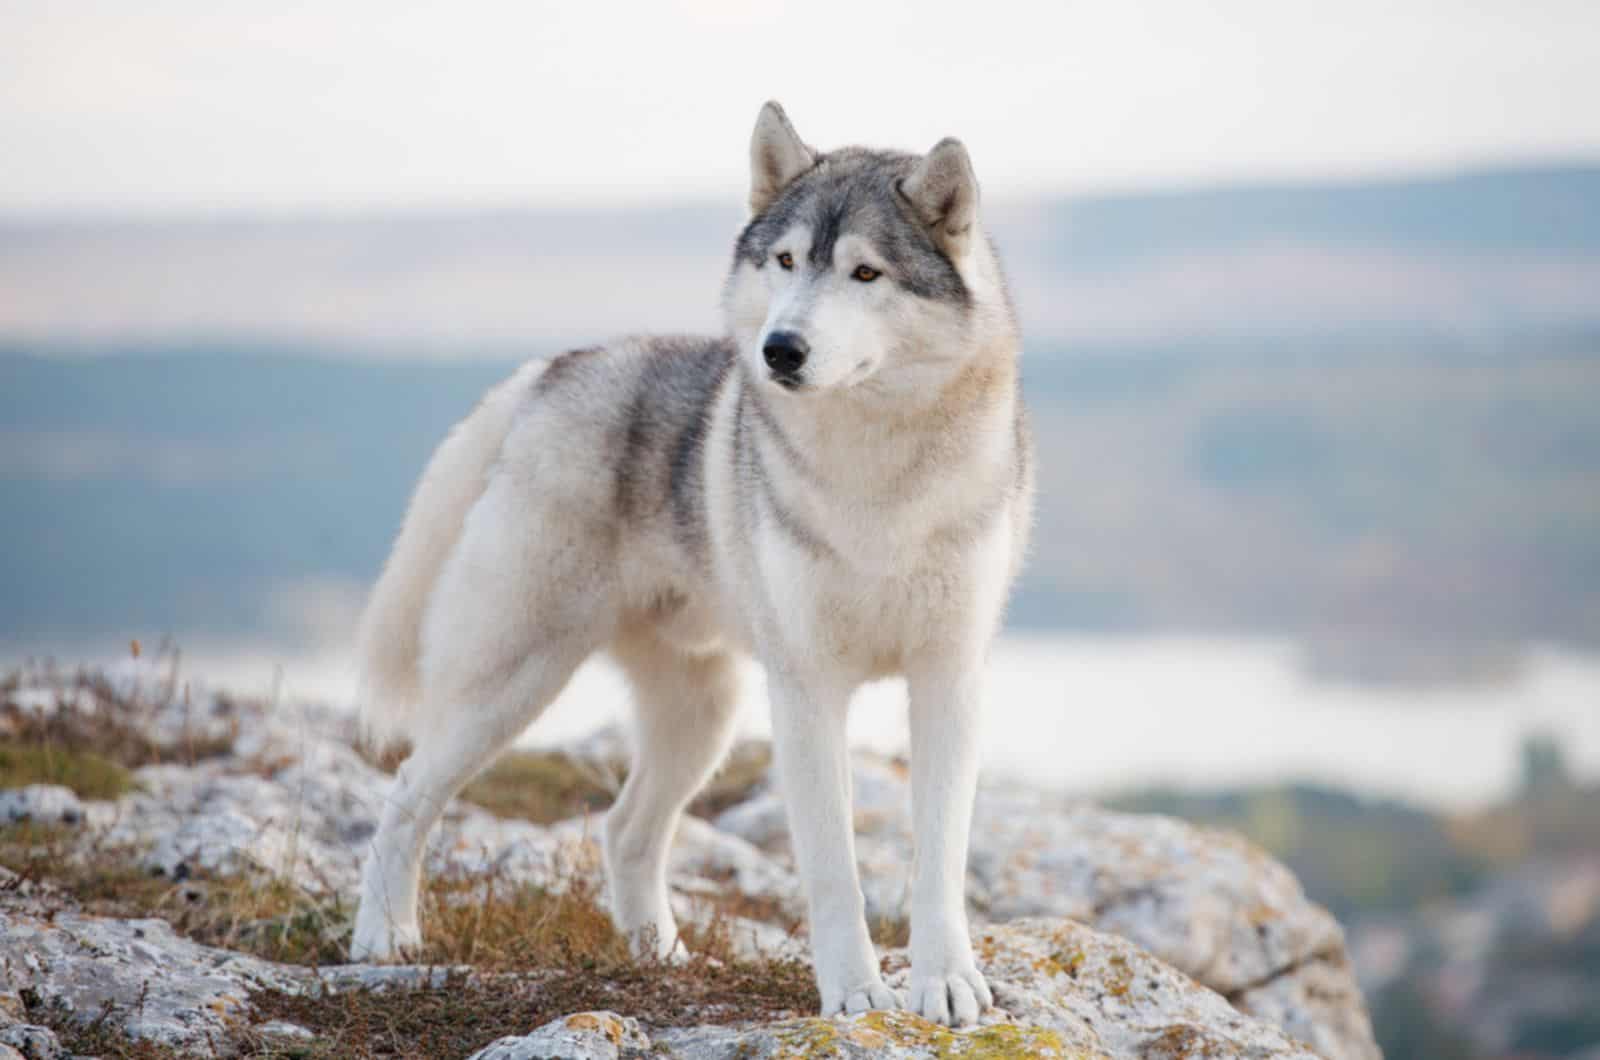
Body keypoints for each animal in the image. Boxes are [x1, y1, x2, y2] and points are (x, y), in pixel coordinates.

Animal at [347, 101, 1036, 1031]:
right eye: (786, 262)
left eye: (865, 273)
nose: (780, 349)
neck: (877, 478)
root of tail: (551, 369)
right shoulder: (808, 691)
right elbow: (834, 871)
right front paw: (856, 993)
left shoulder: (948, 679)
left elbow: (940, 863)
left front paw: (947, 985)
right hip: (510, 685)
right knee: (406, 790)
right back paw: (384, 939)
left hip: (700, 716)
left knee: (623, 830)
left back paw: (660, 957)